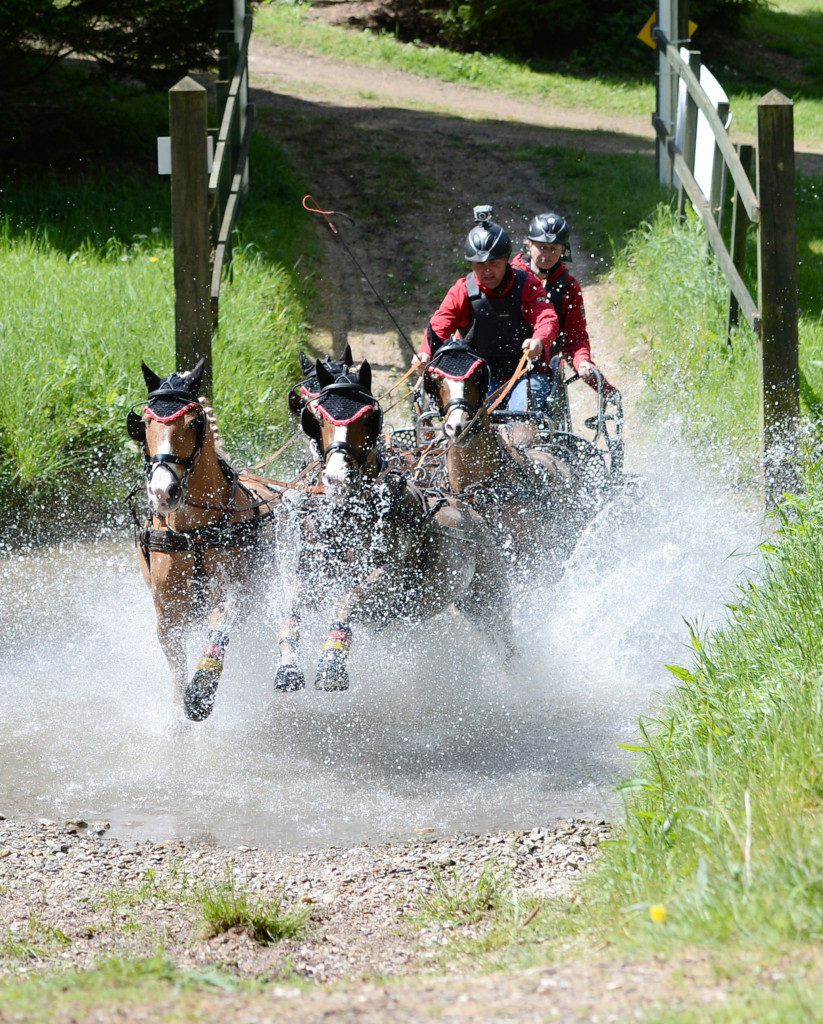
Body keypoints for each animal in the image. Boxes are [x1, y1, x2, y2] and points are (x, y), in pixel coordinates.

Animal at [126, 358, 280, 720]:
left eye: (194, 421)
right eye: (144, 423)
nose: (162, 491)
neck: (193, 534)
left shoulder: (232, 594)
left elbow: (219, 628)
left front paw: (201, 691)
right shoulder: (167, 618)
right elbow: (176, 672)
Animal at [272, 356, 511, 692]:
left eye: (367, 418)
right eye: (316, 416)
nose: (336, 477)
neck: (352, 514)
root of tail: (471, 511)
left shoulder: (387, 580)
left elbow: (346, 600)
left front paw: (332, 666)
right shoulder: (311, 569)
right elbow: (290, 604)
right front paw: (288, 667)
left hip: (490, 600)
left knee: (506, 645)